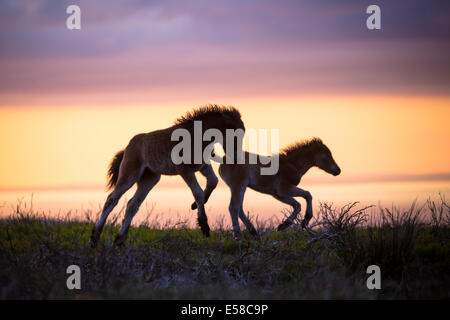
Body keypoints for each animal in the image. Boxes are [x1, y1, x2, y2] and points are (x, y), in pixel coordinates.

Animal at [90, 105, 246, 248]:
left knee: (132, 205)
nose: (236, 157)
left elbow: (213, 182)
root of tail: (128, 146)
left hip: (149, 178)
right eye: (235, 135)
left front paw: (194, 206)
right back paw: (94, 239)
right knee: (112, 199)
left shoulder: (203, 165)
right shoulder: (184, 170)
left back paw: (119, 240)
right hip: (130, 174)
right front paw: (204, 227)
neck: (197, 137)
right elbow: (198, 192)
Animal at [191, 138, 342, 240]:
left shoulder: (277, 194)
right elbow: (307, 195)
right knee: (233, 207)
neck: (292, 164)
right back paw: (238, 236)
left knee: (239, 208)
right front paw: (304, 220)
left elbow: (297, 204)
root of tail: (223, 159)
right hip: (238, 185)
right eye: (326, 155)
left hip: (240, 187)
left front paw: (283, 225)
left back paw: (254, 233)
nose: (338, 170)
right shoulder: (284, 189)